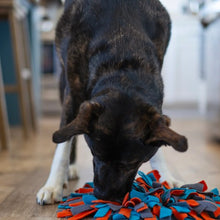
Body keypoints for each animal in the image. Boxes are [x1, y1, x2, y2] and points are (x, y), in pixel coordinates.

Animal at [36, 0, 187, 206]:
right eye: (95, 153)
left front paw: (164, 176)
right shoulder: (72, 91)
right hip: (61, 82)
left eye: (133, 163)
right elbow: (63, 142)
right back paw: (71, 167)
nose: (104, 196)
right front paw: (53, 186)